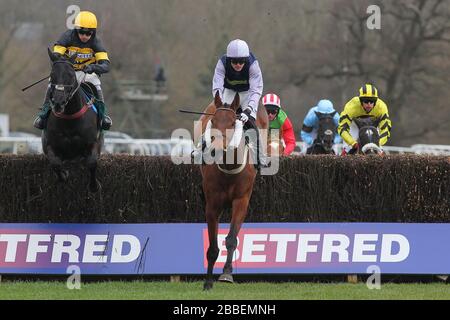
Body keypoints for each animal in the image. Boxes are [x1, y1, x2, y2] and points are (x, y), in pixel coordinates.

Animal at [42, 48, 103, 191]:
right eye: (52, 74)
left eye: (70, 75)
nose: (58, 103)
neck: (70, 118)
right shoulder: (50, 145)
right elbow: (55, 164)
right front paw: (64, 175)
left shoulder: (93, 143)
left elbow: (92, 162)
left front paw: (94, 186)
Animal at [200, 92, 256, 290]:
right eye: (213, 121)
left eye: (233, 122)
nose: (216, 150)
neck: (228, 168)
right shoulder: (212, 205)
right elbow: (212, 246)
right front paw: (208, 282)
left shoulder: (241, 201)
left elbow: (231, 238)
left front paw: (226, 273)